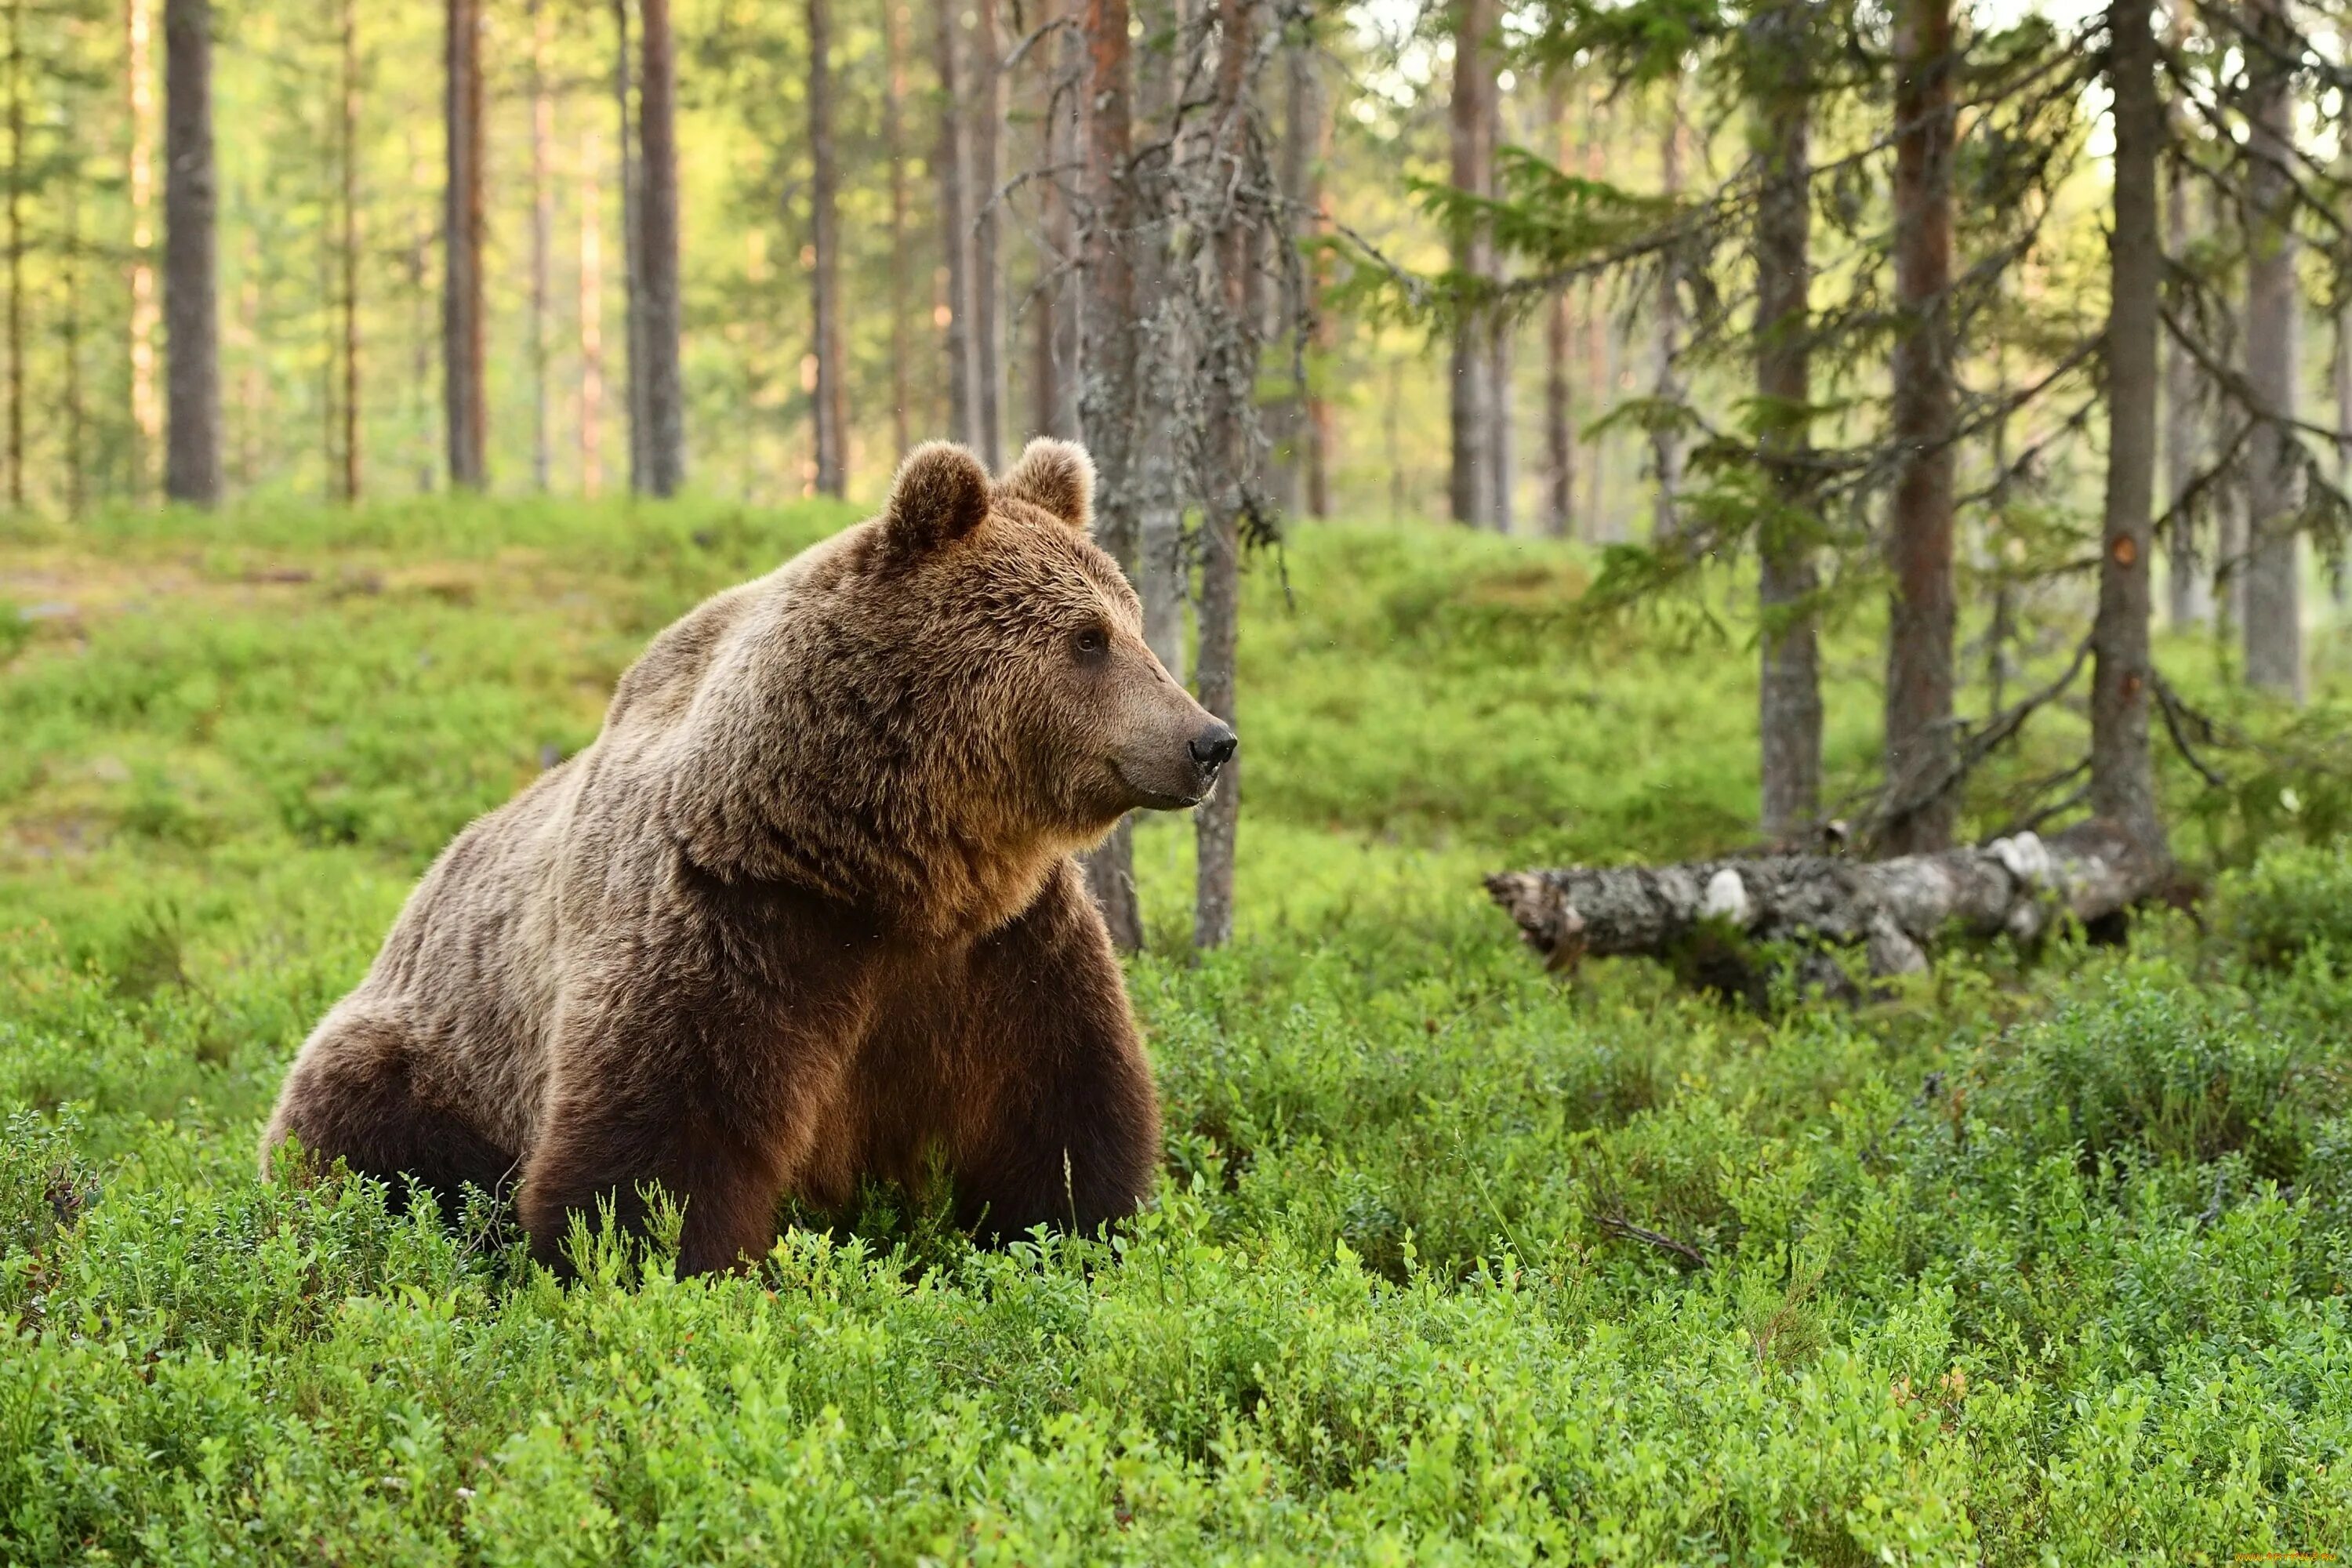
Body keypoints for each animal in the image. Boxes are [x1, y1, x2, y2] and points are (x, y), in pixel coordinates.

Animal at [267, 432, 1242, 1279]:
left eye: (1133, 621)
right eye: (1088, 638)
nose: (1209, 739)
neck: (895, 868)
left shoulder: (1006, 944)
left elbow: (1065, 1107)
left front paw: (1083, 1236)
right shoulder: (738, 920)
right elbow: (664, 1140)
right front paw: (662, 1269)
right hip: (426, 1055)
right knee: (365, 1128)